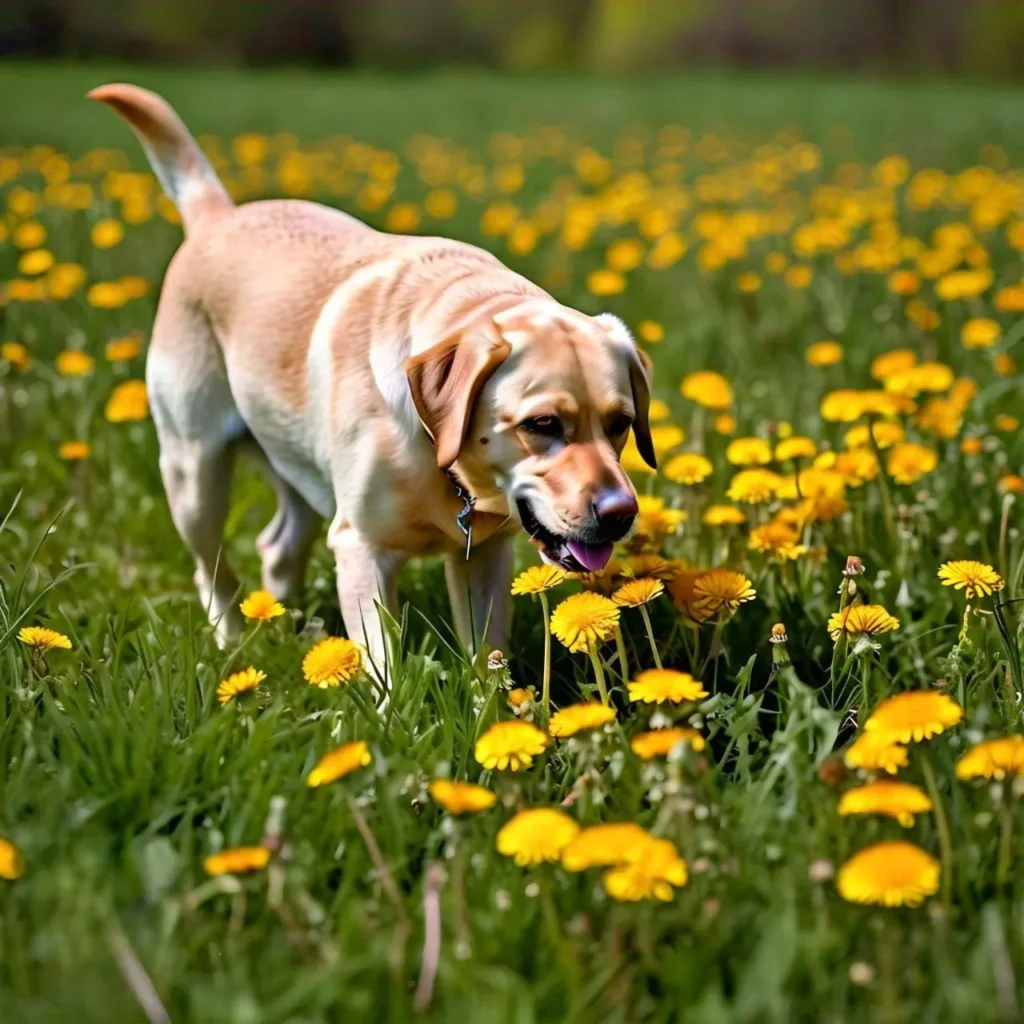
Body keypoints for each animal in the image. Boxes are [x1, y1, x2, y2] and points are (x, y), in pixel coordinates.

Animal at [94, 83, 655, 675]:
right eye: (542, 424)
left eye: (620, 423)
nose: (620, 514)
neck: (441, 457)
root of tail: (217, 216)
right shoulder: (360, 546)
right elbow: (384, 663)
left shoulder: (486, 554)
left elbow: (487, 660)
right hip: (193, 474)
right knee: (212, 569)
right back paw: (231, 640)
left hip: (295, 464)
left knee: (278, 545)